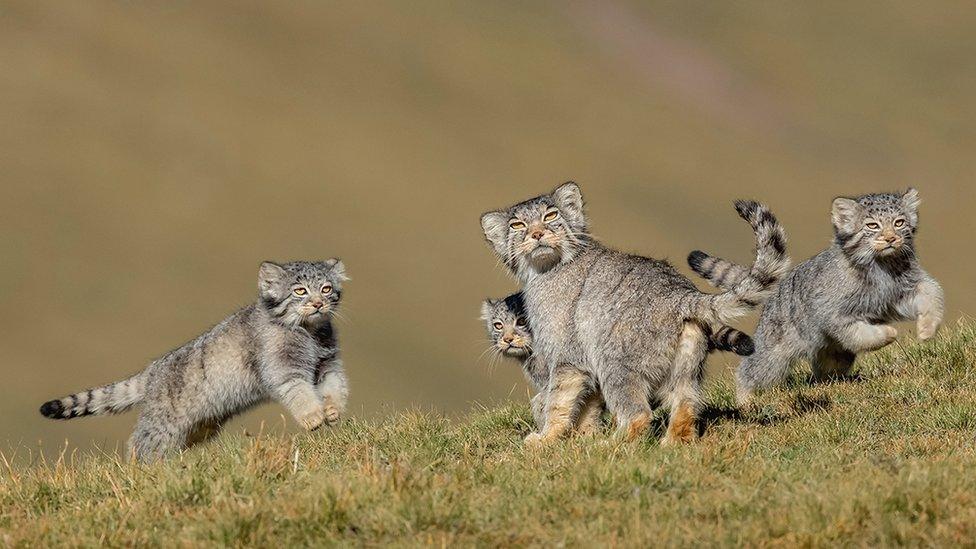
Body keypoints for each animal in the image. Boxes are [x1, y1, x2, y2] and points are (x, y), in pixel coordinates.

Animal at [39, 260, 350, 460]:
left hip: (199, 424)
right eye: (300, 291)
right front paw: (313, 416)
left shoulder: (327, 365)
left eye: (325, 288)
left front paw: (333, 410)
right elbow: (299, 392)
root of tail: (151, 372)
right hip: (162, 424)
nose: (318, 304)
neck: (310, 333)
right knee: (140, 445)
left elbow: (335, 385)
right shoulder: (282, 368)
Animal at [476, 184, 788, 446]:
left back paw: (609, 447)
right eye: (517, 224)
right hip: (684, 369)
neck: (546, 270)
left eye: (551, 215)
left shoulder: (568, 357)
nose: (537, 234)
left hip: (615, 363)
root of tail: (680, 293)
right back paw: (671, 445)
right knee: (686, 405)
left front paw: (545, 440)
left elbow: (557, 402)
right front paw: (579, 436)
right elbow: (584, 406)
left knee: (639, 415)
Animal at [692, 188, 940, 402]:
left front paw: (927, 329)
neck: (882, 267)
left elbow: (932, 293)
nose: (891, 239)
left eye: (899, 222)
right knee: (750, 370)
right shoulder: (834, 315)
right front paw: (888, 333)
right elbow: (862, 334)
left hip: (833, 353)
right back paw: (745, 400)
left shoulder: (903, 291)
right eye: (872, 225)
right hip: (773, 353)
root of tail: (776, 289)